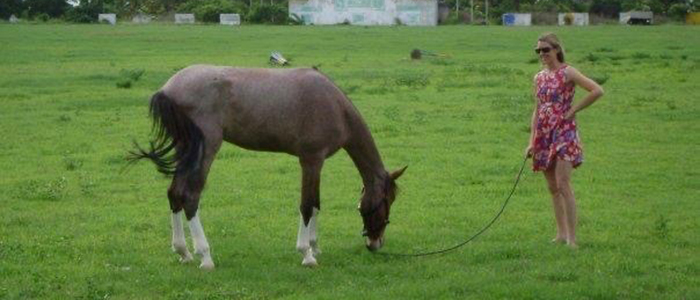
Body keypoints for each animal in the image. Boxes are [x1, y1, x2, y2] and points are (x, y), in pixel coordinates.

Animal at [129, 64, 408, 268]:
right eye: (386, 201)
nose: (376, 243)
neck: (334, 105)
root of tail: (168, 88)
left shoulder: (316, 164)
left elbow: (316, 204)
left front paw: (315, 246)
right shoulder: (311, 160)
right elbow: (307, 205)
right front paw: (306, 253)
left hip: (184, 149)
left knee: (174, 193)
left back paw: (183, 251)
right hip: (205, 150)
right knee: (190, 196)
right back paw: (205, 256)